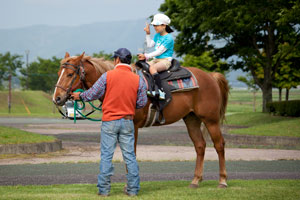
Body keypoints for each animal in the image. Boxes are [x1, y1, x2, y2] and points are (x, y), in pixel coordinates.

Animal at [52, 51, 229, 188]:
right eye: (58, 74)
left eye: (69, 74)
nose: (57, 98)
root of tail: (210, 76)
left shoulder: (133, 126)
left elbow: (131, 153)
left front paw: (129, 184)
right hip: (191, 119)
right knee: (200, 146)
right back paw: (195, 181)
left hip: (210, 120)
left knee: (219, 145)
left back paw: (222, 181)